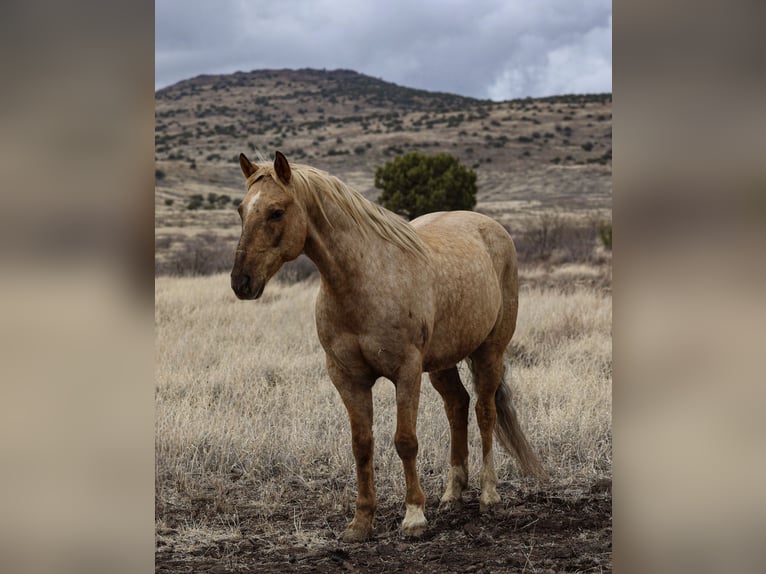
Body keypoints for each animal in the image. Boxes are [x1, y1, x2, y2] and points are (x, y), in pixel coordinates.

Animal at [230, 151, 544, 544]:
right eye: (241, 210)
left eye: (276, 212)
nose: (241, 282)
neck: (364, 282)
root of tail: (493, 228)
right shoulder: (347, 378)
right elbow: (362, 445)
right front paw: (361, 521)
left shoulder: (406, 373)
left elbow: (405, 441)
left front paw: (414, 517)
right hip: (442, 363)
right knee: (457, 407)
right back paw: (453, 493)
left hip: (489, 352)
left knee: (484, 413)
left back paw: (489, 495)